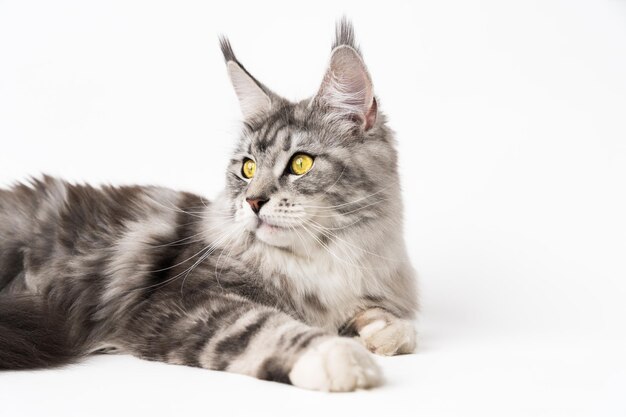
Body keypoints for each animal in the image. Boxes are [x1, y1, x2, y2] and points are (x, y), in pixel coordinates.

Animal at [1, 18, 420, 390]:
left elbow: (382, 315)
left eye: (300, 163)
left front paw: (389, 332)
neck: (319, 257)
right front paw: (336, 356)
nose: (253, 202)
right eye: (248, 168)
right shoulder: (185, 303)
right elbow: (261, 327)